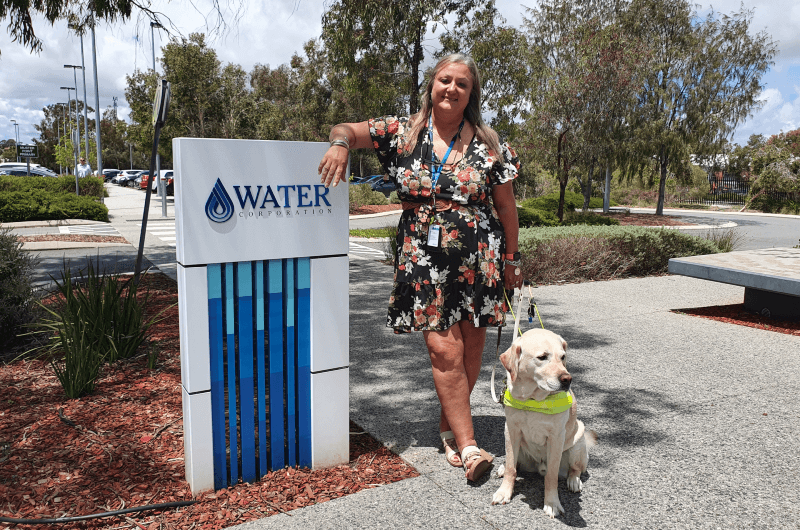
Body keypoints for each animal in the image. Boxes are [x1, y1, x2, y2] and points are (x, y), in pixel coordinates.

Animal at [490, 328, 596, 512]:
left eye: (563, 357)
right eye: (542, 357)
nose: (567, 379)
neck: (533, 399)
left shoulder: (556, 437)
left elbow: (551, 476)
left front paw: (552, 503)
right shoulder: (511, 429)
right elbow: (511, 468)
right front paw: (504, 492)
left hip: (577, 443)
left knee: (576, 469)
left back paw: (574, 481)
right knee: (514, 463)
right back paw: (503, 467)